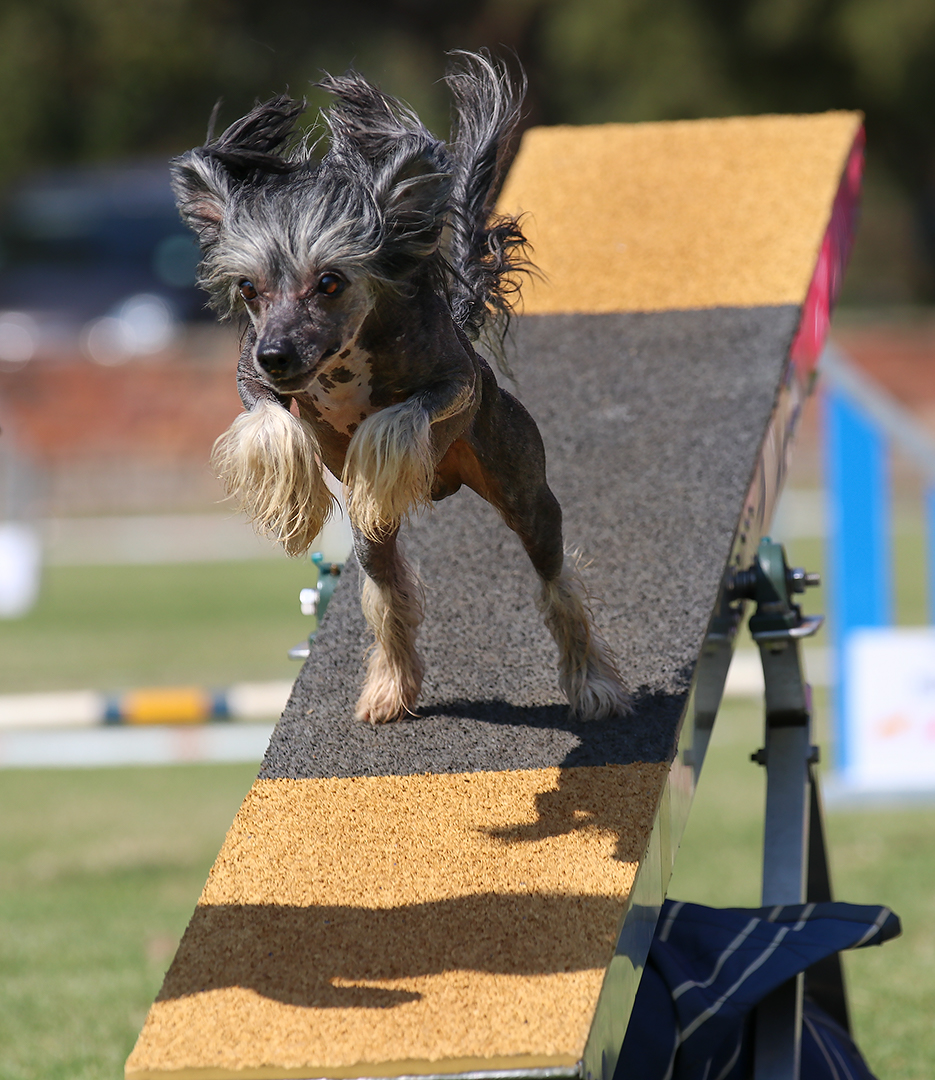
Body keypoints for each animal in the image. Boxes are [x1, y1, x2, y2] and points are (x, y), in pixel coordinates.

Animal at [171, 50, 630, 725]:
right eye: (250, 289)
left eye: (330, 282)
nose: (277, 355)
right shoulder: (250, 379)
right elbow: (272, 421)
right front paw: (294, 499)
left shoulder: (456, 381)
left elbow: (399, 417)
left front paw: (376, 464)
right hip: (375, 546)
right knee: (388, 592)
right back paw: (391, 687)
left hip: (524, 489)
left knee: (558, 581)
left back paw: (592, 681)